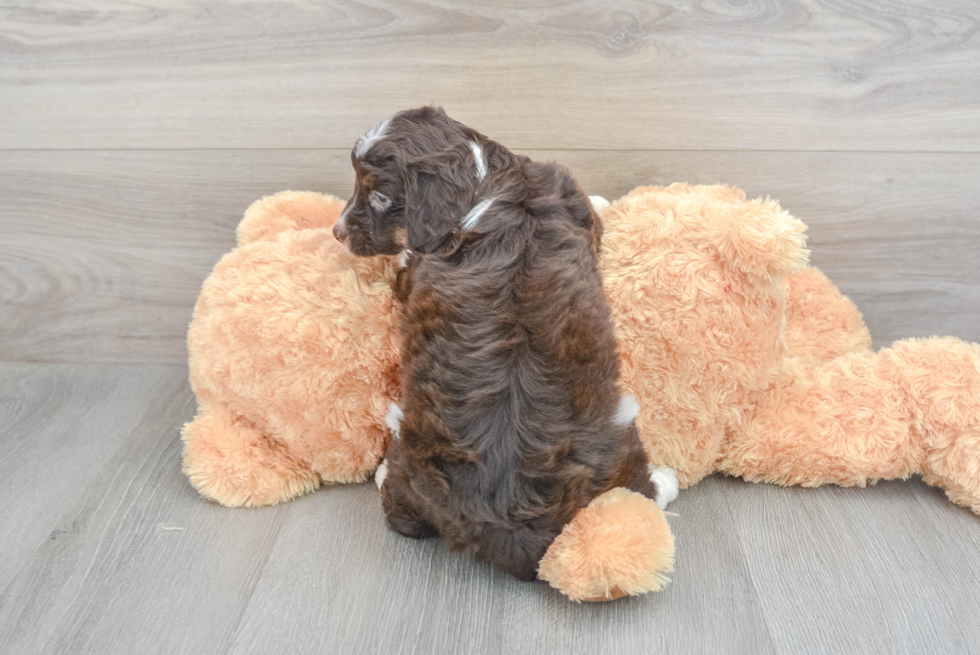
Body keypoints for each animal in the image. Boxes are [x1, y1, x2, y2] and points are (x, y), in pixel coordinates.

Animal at [334, 109, 668, 584]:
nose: (336, 231)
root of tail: (504, 516)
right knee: (640, 488)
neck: (485, 179)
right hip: (619, 429)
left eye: (379, 196)